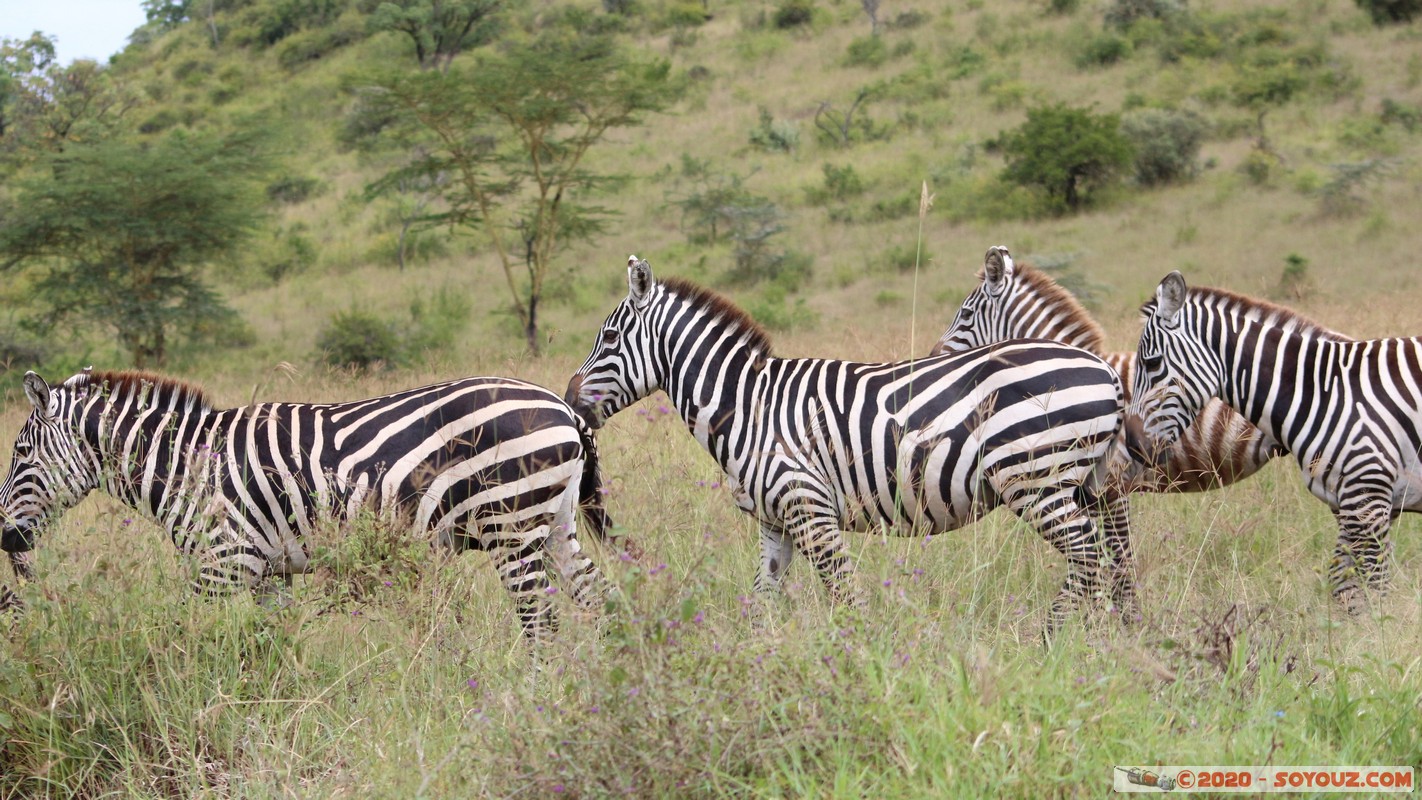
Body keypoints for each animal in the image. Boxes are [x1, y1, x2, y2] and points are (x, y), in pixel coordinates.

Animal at [0, 366, 622, 639]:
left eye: (21, 454)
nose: (7, 539)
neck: (189, 469)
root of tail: (562, 407)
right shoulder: (267, 573)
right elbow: (270, 645)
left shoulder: (222, 564)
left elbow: (184, 635)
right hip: (554, 522)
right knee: (599, 596)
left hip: (510, 524)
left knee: (540, 618)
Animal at [565, 257, 1131, 633]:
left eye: (609, 339)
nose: (569, 400)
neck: (747, 406)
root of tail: (1104, 368)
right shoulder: (775, 523)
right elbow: (763, 602)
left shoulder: (810, 510)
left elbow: (846, 599)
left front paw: (864, 666)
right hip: (1081, 485)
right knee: (1109, 556)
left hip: (1035, 481)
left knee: (1087, 555)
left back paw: (1051, 638)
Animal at [1126, 272, 1416, 611]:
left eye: (1152, 363)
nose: (1131, 444)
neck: (1328, 392)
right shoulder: (1346, 504)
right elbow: (1345, 590)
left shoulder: (1368, 498)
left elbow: (1373, 592)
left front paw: (1378, 626)